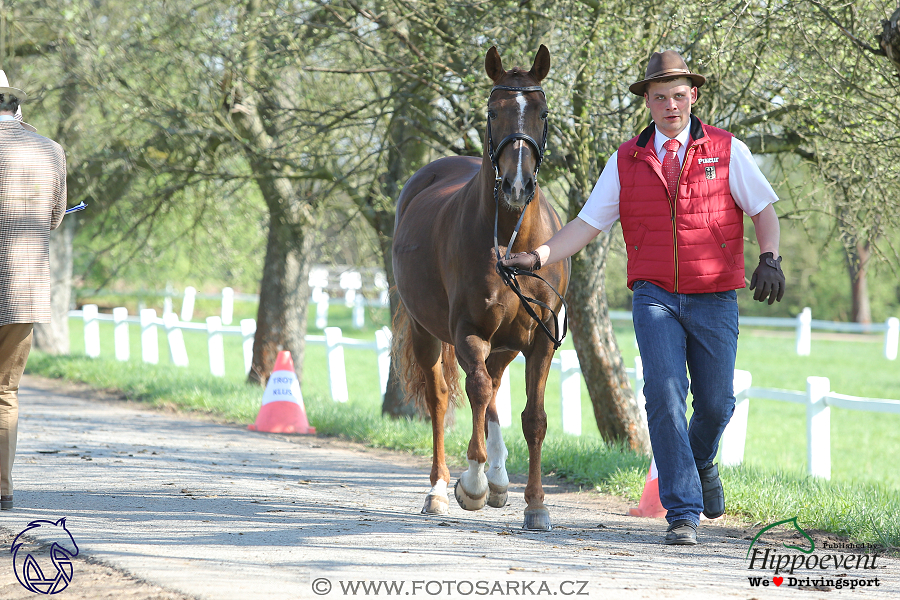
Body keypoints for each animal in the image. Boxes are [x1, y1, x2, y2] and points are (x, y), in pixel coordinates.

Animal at [388, 44, 568, 528]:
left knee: (495, 390)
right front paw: (472, 483)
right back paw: (438, 489)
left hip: (505, 343)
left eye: (542, 113)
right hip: (426, 333)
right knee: (444, 399)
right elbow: (477, 392)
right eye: (493, 111)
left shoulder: (541, 339)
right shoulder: (469, 332)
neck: (511, 241)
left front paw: (536, 504)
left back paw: (501, 479)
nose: (517, 185)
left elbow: (534, 418)